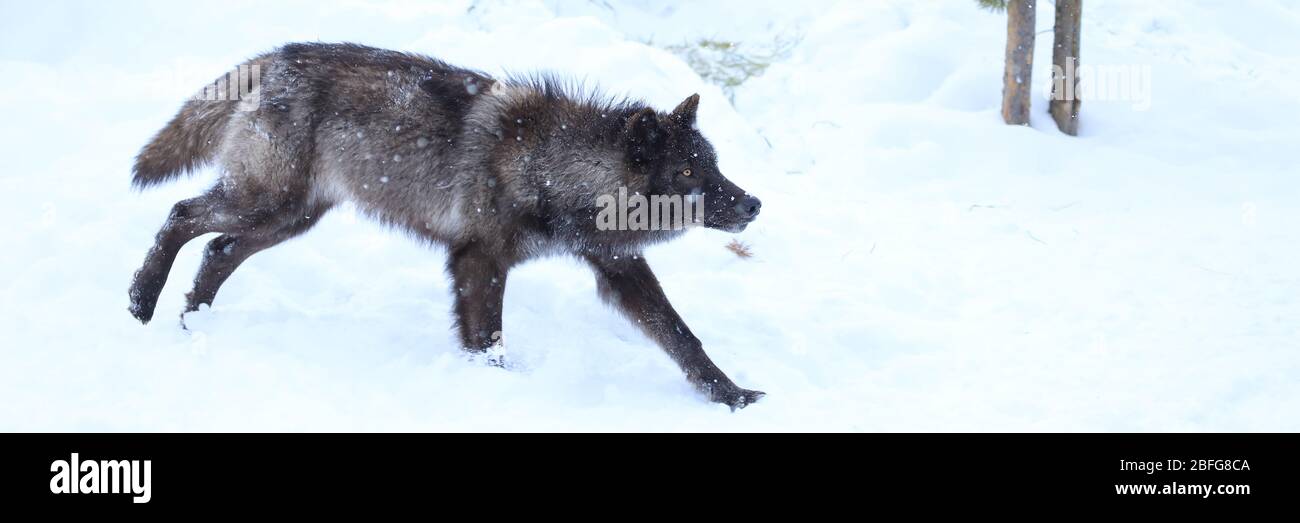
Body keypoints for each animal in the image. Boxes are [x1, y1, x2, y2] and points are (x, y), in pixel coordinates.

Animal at [129, 41, 759, 408]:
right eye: (686, 171)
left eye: (714, 164)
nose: (753, 204)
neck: (552, 163)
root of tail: (278, 55)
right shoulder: (478, 259)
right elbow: (489, 340)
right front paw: (499, 391)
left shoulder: (619, 266)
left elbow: (681, 336)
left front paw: (733, 396)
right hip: (264, 202)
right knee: (182, 216)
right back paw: (142, 302)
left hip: (290, 218)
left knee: (218, 251)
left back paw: (193, 322)